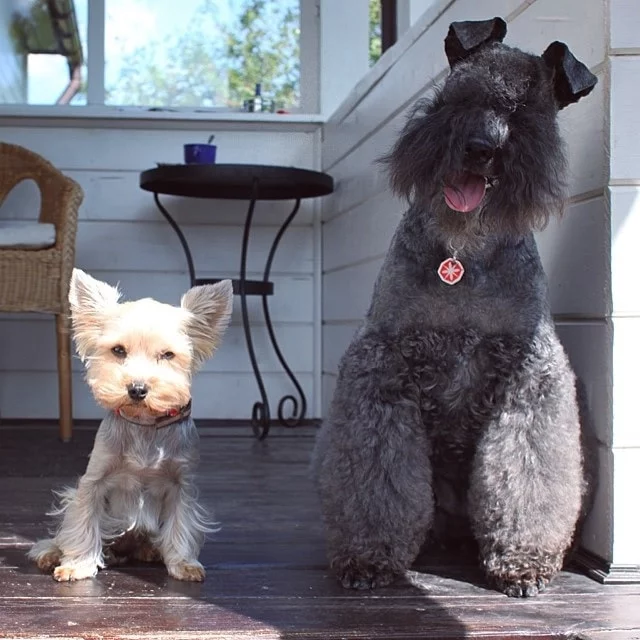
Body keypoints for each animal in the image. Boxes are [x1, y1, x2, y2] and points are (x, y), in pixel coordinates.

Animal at [28, 268, 232, 584]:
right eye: (118, 350)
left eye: (168, 355)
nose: (137, 389)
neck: (144, 423)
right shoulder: (93, 481)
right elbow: (83, 522)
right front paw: (78, 565)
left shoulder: (181, 485)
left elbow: (181, 525)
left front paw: (183, 564)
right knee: (60, 535)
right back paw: (51, 554)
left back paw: (149, 550)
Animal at [312, 17, 596, 596]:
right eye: (461, 92)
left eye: (527, 111)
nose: (481, 147)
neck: (464, 253)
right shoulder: (382, 364)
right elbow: (378, 473)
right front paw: (369, 556)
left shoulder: (531, 374)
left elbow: (527, 468)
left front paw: (524, 560)